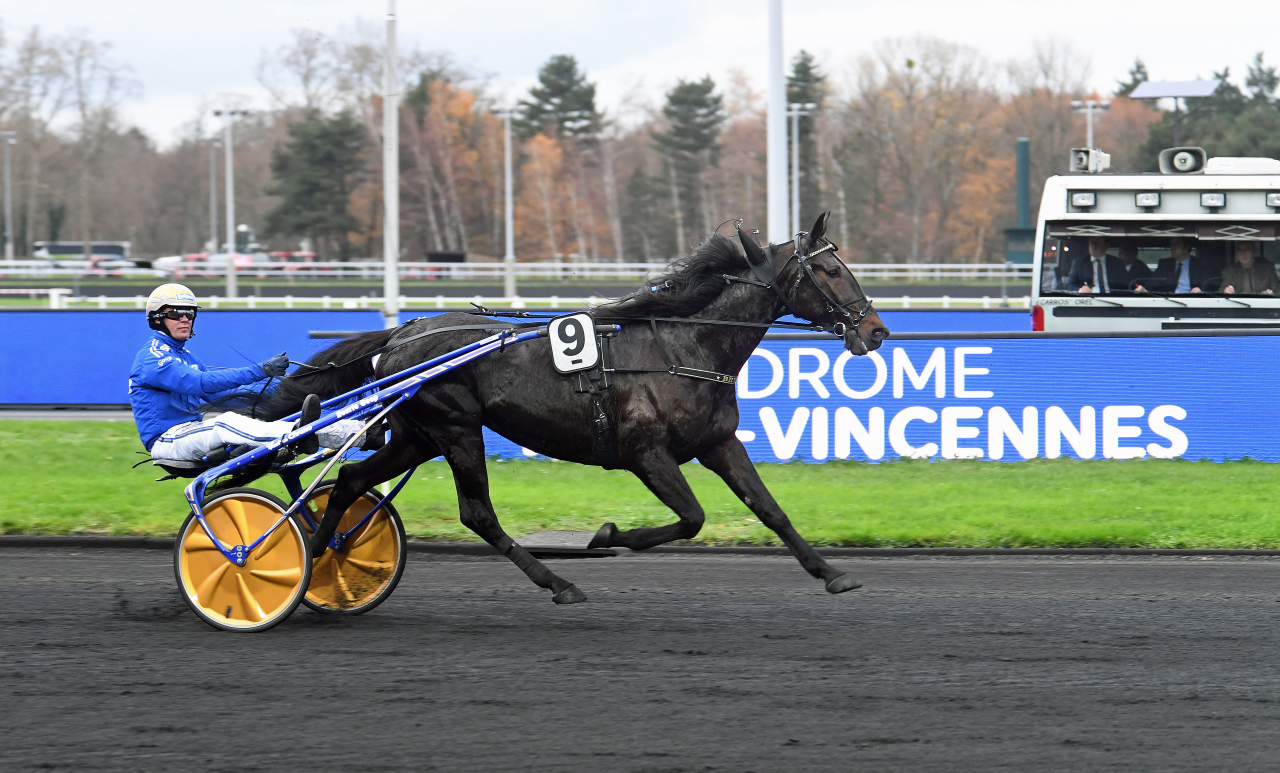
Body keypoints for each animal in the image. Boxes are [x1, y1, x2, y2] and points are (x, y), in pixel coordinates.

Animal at [255, 214, 889, 604]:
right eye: (830, 269)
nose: (877, 331)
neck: (684, 346)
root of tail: (400, 335)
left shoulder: (718, 443)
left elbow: (770, 510)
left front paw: (832, 574)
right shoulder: (645, 452)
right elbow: (691, 518)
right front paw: (612, 534)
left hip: (419, 436)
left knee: (349, 481)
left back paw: (316, 558)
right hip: (456, 429)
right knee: (476, 513)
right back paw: (557, 582)